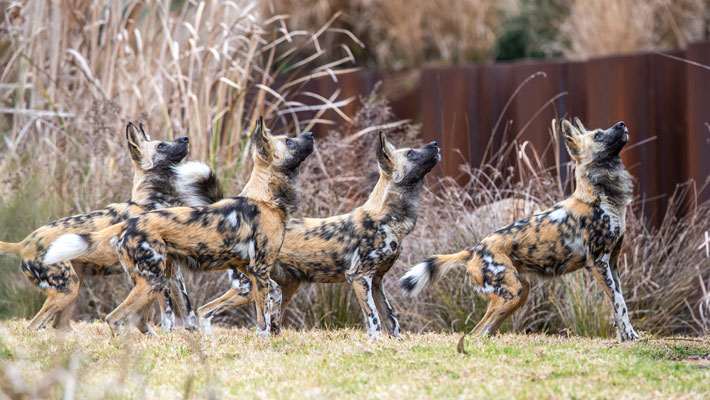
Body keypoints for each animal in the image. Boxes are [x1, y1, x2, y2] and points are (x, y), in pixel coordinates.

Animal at [0, 122, 213, 332]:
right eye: (161, 145)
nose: (185, 138)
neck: (153, 202)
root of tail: (23, 243)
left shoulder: (173, 275)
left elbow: (187, 313)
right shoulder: (158, 277)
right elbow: (167, 317)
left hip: (74, 288)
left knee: (57, 325)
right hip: (67, 289)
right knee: (34, 325)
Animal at [44, 119, 312, 338]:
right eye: (288, 141)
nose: (310, 134)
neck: (266, 199)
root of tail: (127, 223)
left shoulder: (253, 272)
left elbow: (274, 302)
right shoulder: (259, 271)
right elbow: (263, 319)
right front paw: (266, 342)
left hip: (157, 280)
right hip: (153, 282)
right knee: (114, 318)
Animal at [195, 133, 440, 340]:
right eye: (411, 153)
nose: (435, 143)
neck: (387, 218)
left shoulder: (377, 281)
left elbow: (391, 321)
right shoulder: (359, 277)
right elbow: (374, 321)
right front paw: (375, 345)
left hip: (283, 287)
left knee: (216, 311)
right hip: (250, 287)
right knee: (206, 309)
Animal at [404, 117, 644, 342]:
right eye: (598, 136)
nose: (621, 124)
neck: (603, 197)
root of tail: (473, 250)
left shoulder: (612, 263)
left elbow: (620, 305)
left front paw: (627, 337)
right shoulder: (598, 263)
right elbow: (619, 303)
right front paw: (630, 339)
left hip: (519, 293)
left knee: (482, 331)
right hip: (512, 292)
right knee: (477, 331)